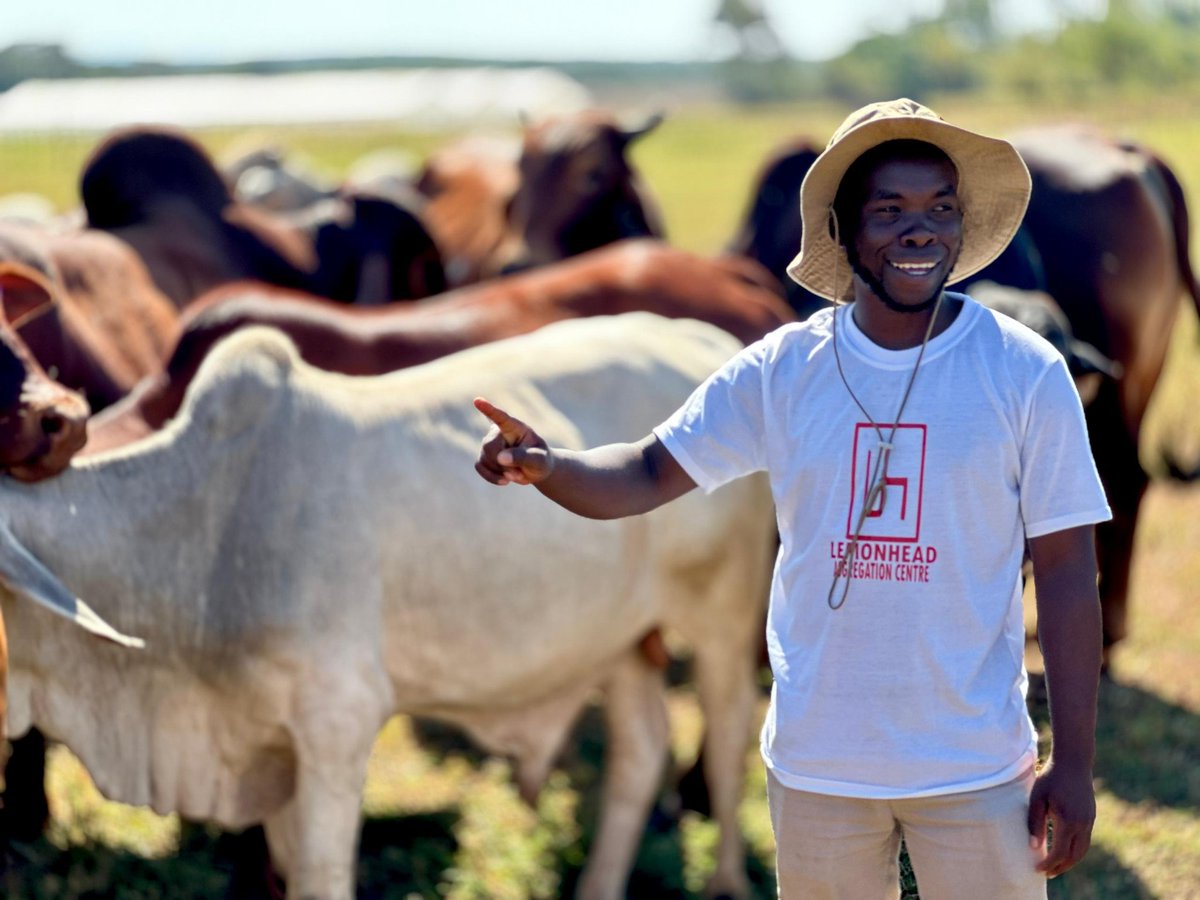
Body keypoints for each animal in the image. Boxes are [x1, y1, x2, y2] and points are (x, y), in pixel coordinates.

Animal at [0, 314, 772, 900]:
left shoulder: (337, 726)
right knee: (640, 752)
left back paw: (726, 883)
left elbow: (321, 876)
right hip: (618, 640)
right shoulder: (276, 746)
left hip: (723, 619)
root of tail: (704, 338)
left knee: (729, 737)